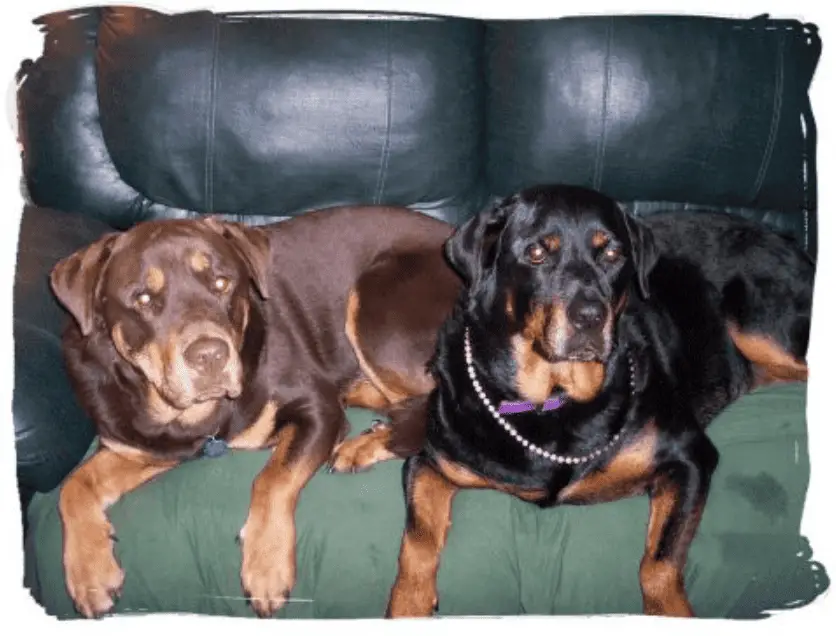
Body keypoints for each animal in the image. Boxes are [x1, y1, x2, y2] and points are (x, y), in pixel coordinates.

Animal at [48, 206, 460, 620]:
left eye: (221, 282)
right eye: (143, 299)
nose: (210, 355)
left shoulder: (317, 409)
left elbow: (273, 478)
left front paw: (266, 565)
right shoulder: (143, 446)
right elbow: (73, 485)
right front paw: (90, 573)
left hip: (375, 309)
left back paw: (365, 445)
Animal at [330, 183, 812, 616]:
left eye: (613, 255)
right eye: (536, 254)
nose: (590, 317)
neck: (552, 402)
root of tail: (790, 242)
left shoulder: (690, 457)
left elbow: (658, 564)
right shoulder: (432, 463)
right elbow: (417, 544)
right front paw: (409, 605)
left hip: (764, 334)